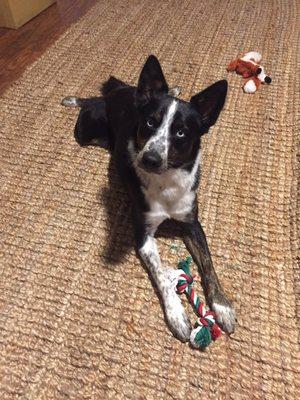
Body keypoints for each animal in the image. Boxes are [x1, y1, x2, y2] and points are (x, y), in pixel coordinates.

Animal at [61, 55, 236, 344]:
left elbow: (209, 264)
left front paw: (222, 306)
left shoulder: (191, 223)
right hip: (85, 133)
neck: (166, 181)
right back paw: (76, 99)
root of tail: (121, 93)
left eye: (181, 133)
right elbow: (161, 274)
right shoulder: (143, 235)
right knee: (91, 101)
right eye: (150, 123)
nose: (150, 159)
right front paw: (177, 315)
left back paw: (172, 87)